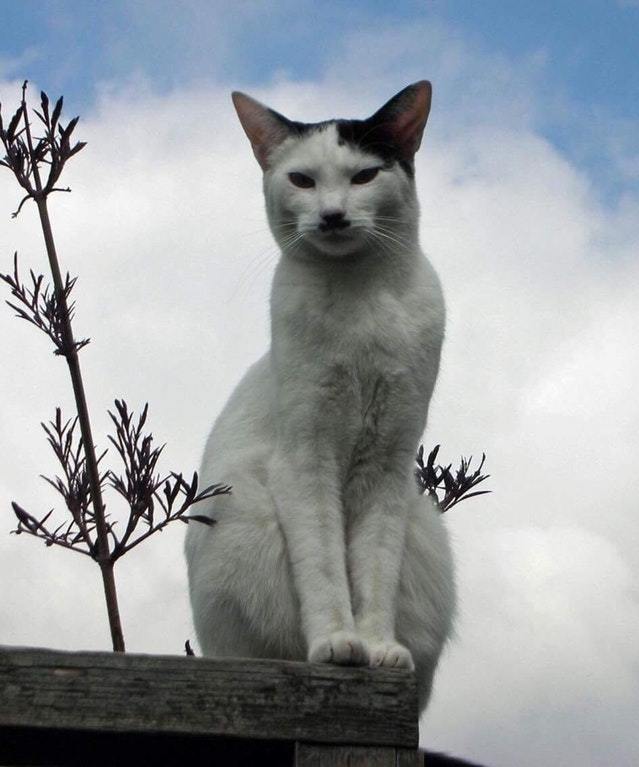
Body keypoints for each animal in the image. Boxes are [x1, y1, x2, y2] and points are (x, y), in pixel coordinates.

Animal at [185, 79, 456, 712]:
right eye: (303, 180)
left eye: (363, 176)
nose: (332, 215)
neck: (362, 303)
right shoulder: (306, 462)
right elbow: (327, 568)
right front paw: (337, 643)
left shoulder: (387, 465)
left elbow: (373, 571)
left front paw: (377, 648)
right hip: (245, 507)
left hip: (423, 526)